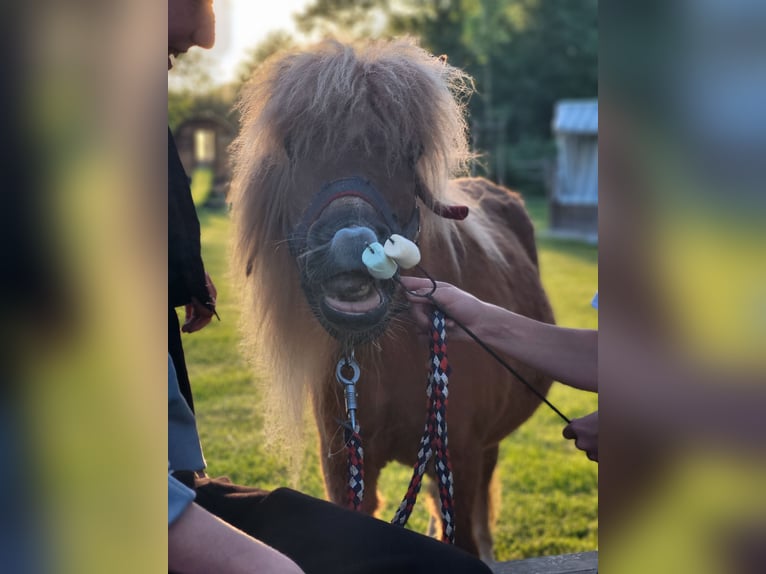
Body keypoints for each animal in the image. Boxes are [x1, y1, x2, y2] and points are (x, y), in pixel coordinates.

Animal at [231, 40, 556, 564]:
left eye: (409, 152)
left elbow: (461, 533)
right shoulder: (344, 464)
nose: (351, 245)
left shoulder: (459, 458)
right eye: (295, 149)